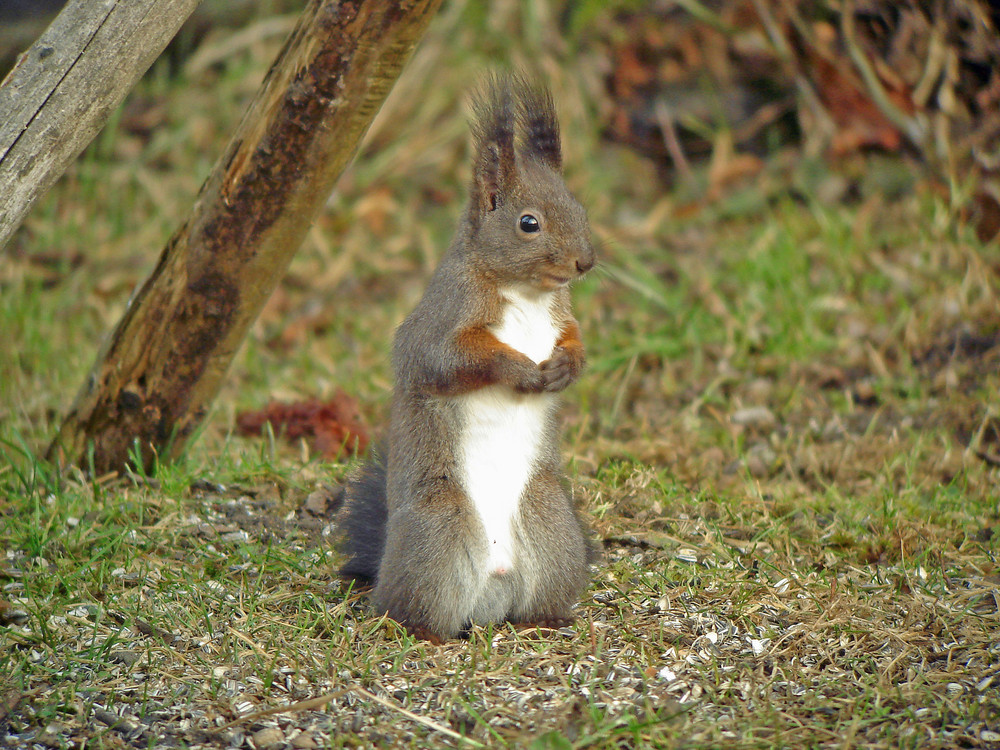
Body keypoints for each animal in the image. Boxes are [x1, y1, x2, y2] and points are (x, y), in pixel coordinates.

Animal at [340, 73, 596, 644]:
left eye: (580, 207)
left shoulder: (562, 318)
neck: (526, 293)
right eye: (528, 223)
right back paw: (426, 632)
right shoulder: (440, 324)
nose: (585, 262)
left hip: (550, 520)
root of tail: (490, 594)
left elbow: (574, 340)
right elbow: (450, 359)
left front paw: (566, 367)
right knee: (410, 610)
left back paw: (546, 621)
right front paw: (519, 368)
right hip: (441, 528)